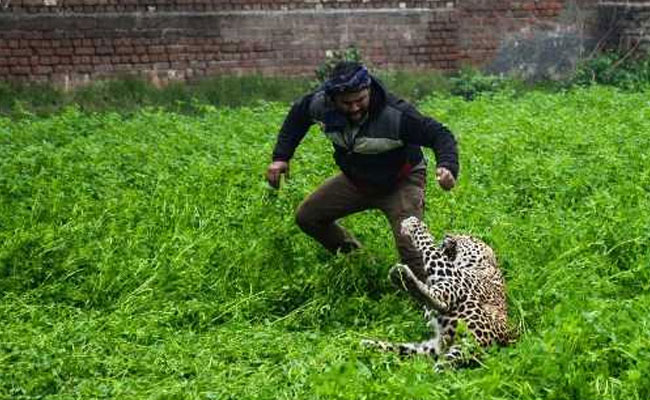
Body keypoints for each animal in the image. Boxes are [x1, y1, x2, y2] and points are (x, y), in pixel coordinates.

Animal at [362, 216, 511, 368]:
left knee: (440, 303)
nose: (447, 235)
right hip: (430, 348)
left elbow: (429, 245)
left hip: (465, 310)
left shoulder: (451, 272)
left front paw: (413, 224)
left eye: (468, 237)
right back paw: (368, 344)